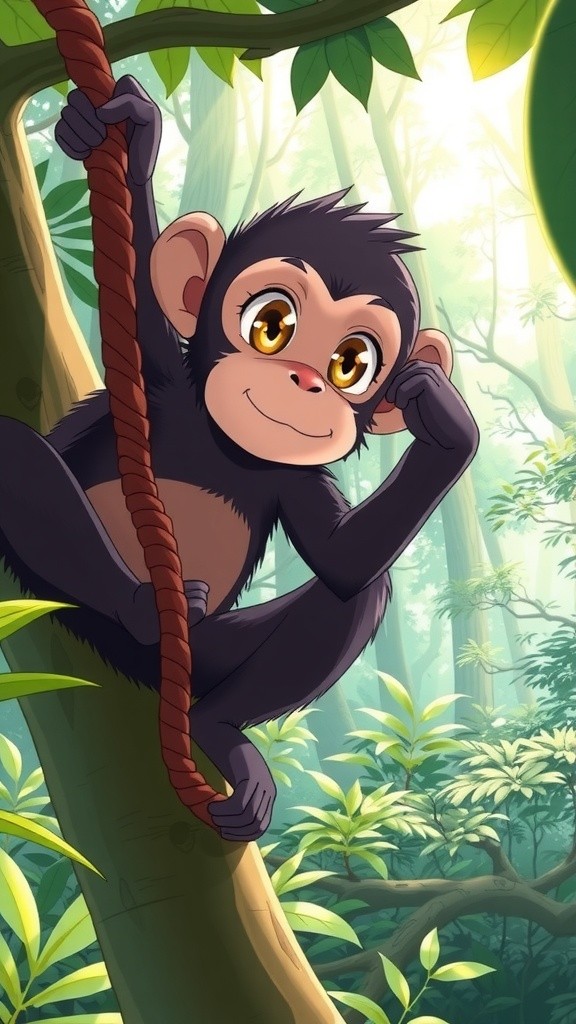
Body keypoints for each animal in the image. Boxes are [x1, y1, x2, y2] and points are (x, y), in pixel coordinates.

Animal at [0, 77, 479, 842]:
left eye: (351, 364)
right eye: (270, 324)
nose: (306, 381)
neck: (224, 445)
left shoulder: (293, 475)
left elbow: (345, 560)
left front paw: (446, 422)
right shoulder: (162, 382)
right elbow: (138, 297)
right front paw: (130, 138)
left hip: (207, 653)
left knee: (356, 594)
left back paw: (217, 727)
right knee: (17, 452)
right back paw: (142, 607)